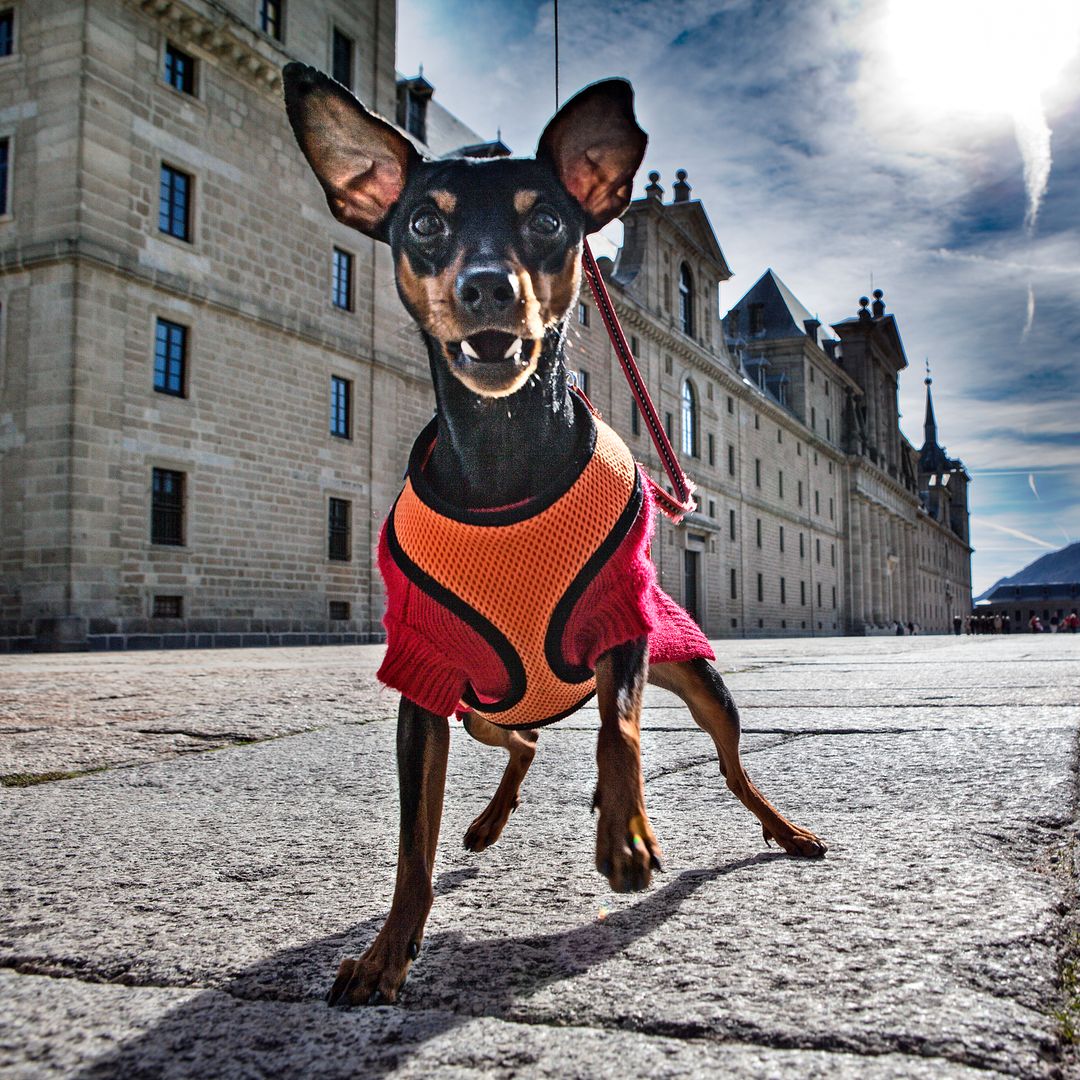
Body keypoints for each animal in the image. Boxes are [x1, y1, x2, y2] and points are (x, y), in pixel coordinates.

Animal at [280, 63, 825, 1006]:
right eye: (423, 222)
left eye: (548, 221)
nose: (487, 288)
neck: (505, 459)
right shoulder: (422, 680)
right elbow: (412, 847)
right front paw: (389, 951)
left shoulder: (620, 623)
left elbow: (621, 734)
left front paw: (627, 836)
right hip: (479, 707)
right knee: (526, 740)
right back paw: (490, 820)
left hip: (704, 683)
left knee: (730, 768)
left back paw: (778, 828)